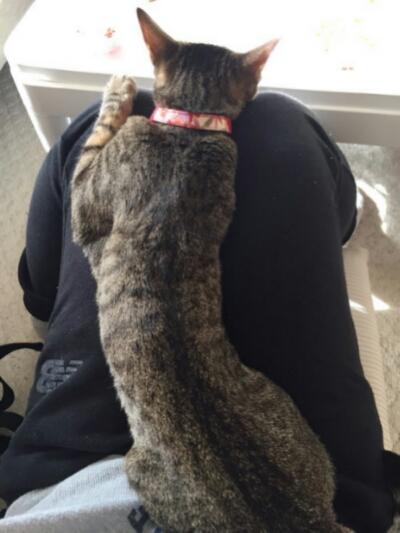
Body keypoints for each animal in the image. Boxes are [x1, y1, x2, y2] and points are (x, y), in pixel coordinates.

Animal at [71, 8, 351, 532]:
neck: (191, 127)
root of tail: (307, 520)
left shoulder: (85, 204)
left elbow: (95, 138)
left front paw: (118, 89)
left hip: (136, 467)